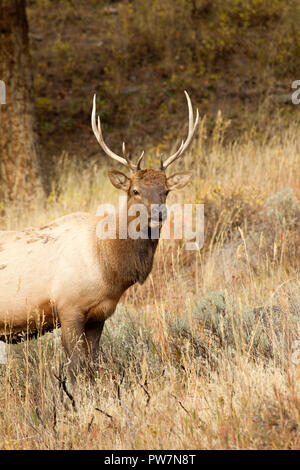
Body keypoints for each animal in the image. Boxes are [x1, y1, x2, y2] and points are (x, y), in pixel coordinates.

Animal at [0, 91, 199, 378]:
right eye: (135, 190)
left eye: (166, 190)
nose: (159, 214)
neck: (108, 267)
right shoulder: (68, 307)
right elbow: (77, 367)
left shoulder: (99, 314)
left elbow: (95, 363)